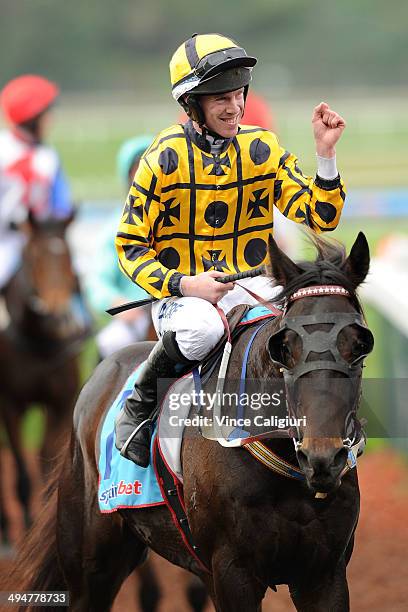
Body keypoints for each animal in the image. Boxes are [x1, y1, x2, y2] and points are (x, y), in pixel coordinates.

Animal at [8, 232, 372, 608]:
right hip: (90, 563)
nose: (322, 458)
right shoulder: (232, 571)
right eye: (283, 346)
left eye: (361, 344)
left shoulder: (323, 575)